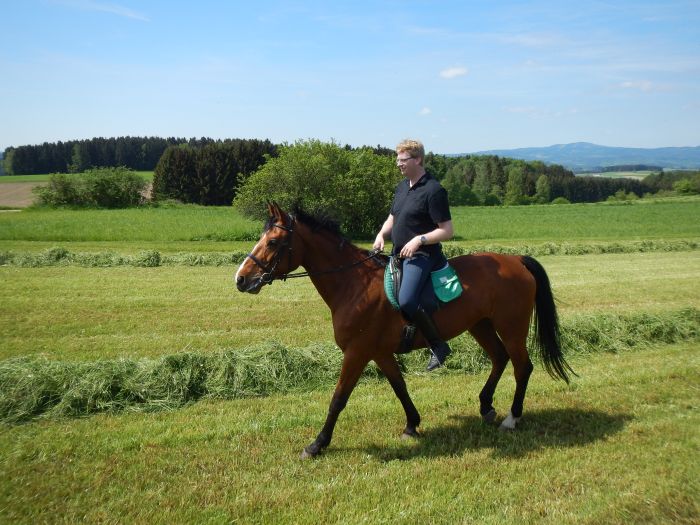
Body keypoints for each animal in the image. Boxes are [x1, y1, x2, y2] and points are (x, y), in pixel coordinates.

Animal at [235, 203, 576, 456]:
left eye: (273, 242)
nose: (241, 279)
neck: (354, 284)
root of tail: (516, 260)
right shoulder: (380, 353)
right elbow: (400, 388)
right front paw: (412, 425)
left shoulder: (357, 353)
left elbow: (338, 398)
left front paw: (317, 444)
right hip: (481, 326)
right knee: (500, 359)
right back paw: (486, 406)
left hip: (512, 327)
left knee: (522, 367)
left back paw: (512, 418)